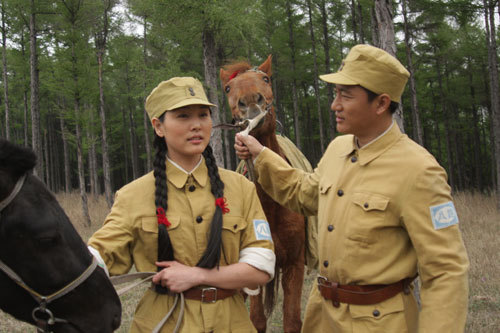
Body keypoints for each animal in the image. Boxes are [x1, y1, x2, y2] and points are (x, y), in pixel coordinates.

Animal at [221, 55, 306, 332]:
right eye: (228, 88)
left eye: (266, 79)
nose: (250, 101)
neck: (272, 206)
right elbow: (256, 320)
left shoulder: (294, 263)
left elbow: (292, 320)